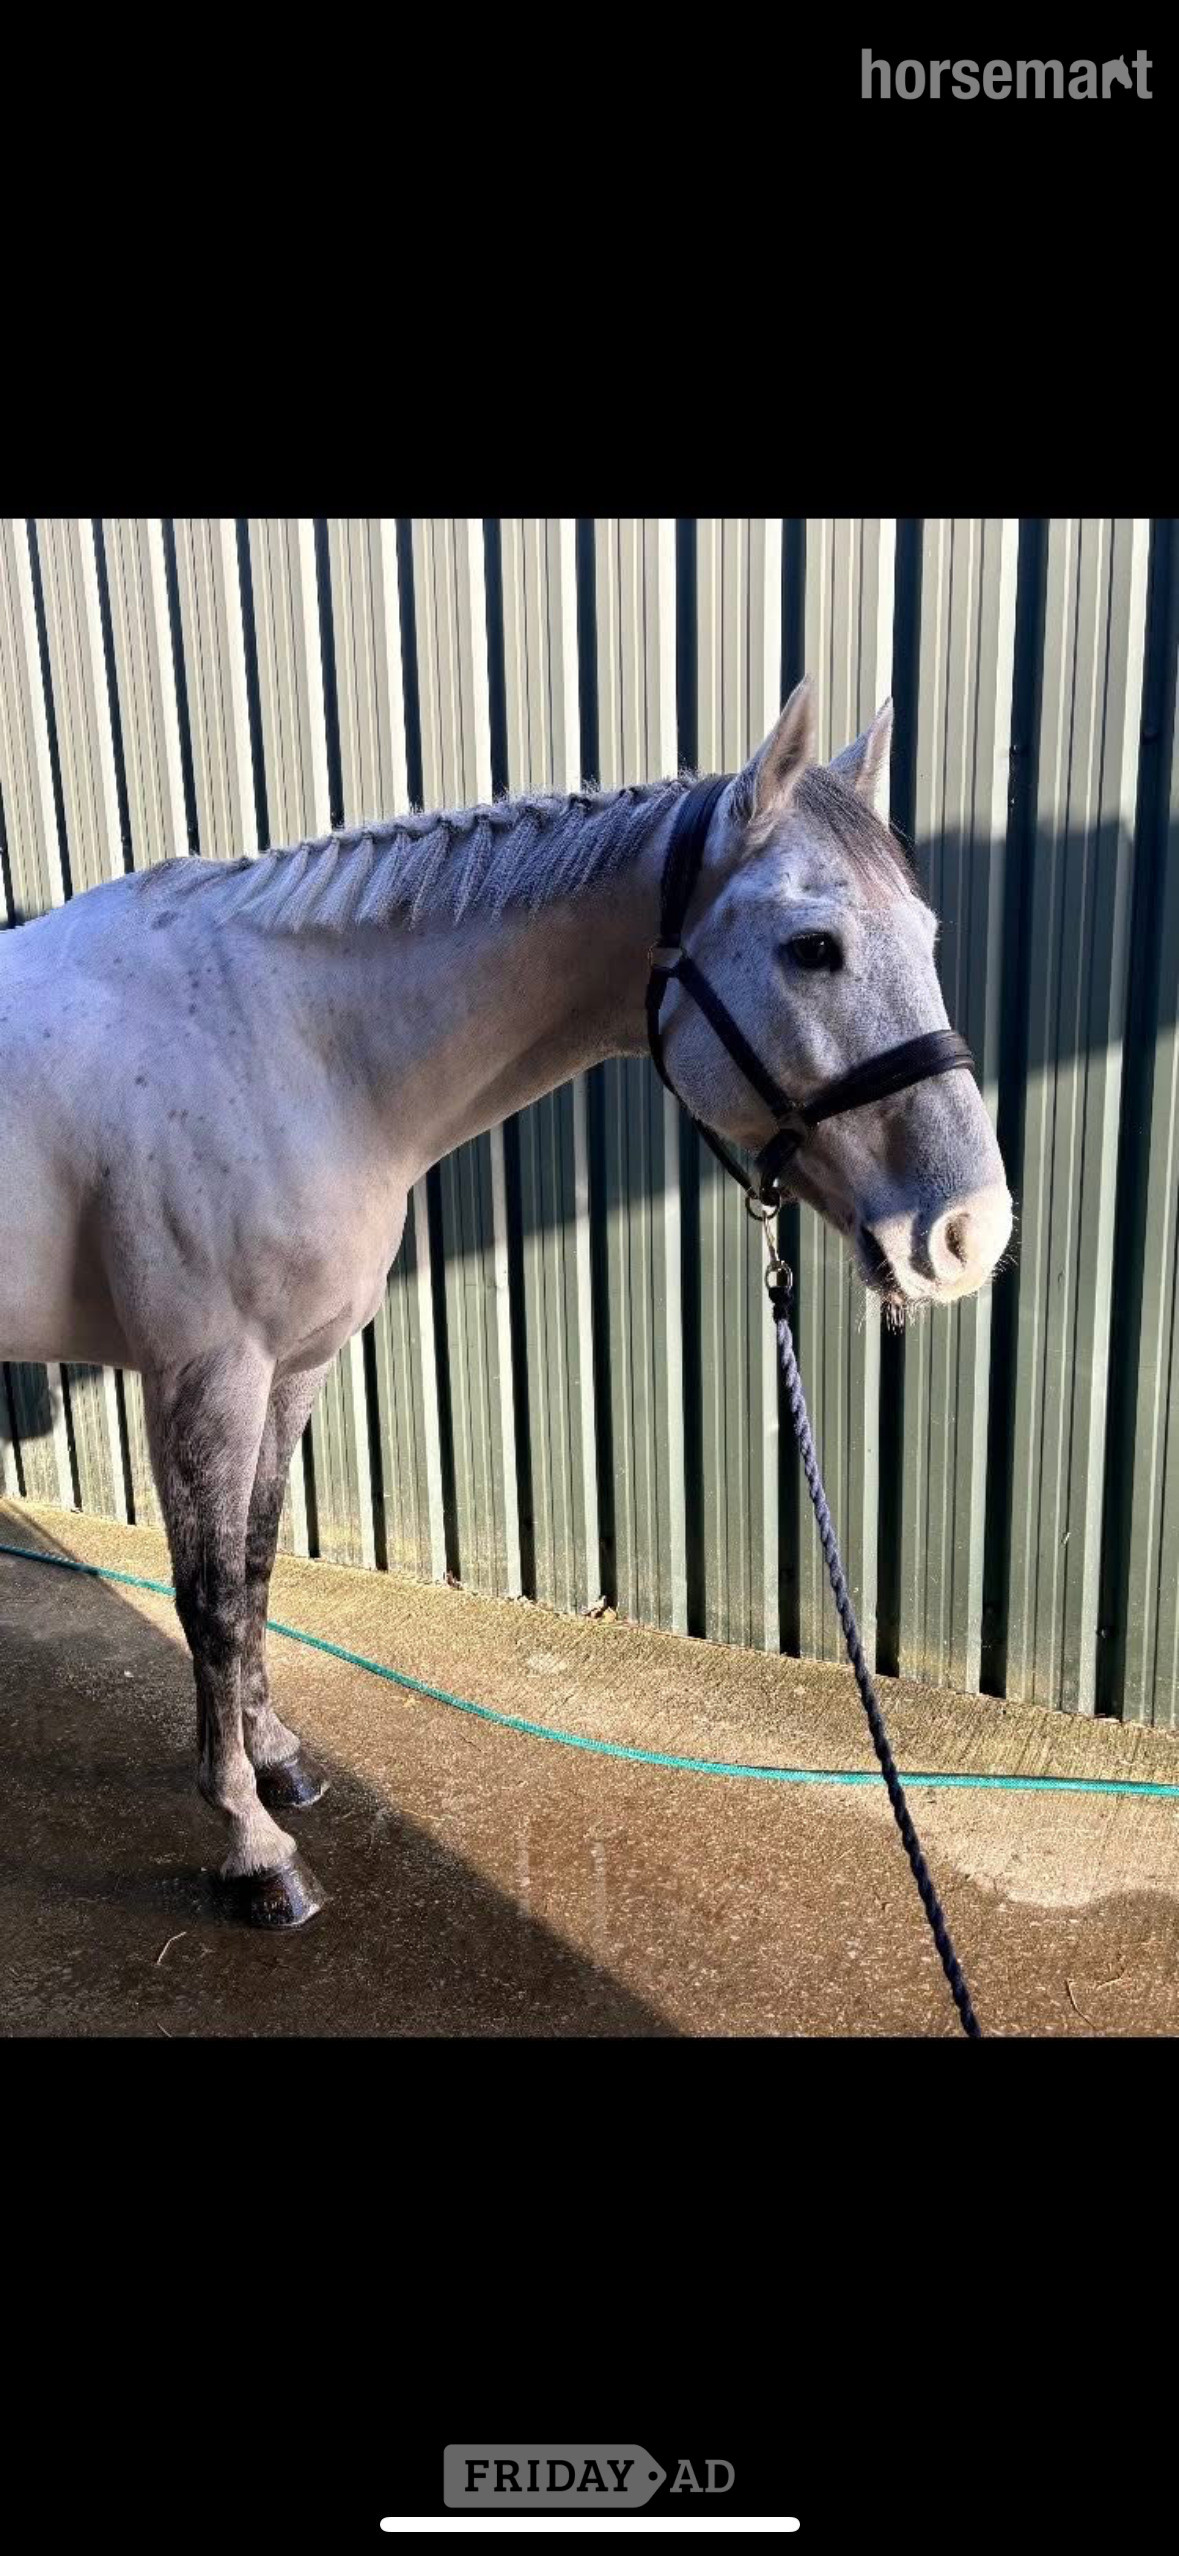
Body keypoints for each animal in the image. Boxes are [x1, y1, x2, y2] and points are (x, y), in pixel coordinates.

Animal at [0, 676, 1012, 1926]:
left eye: (926, 936)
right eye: (813, 947)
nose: (969, 1234)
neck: (286, 1044)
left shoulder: (292, 1367)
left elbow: (258, 1564)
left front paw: (275, 1759)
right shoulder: (205, 1378)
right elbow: (211, 1604)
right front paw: (250, 1844)